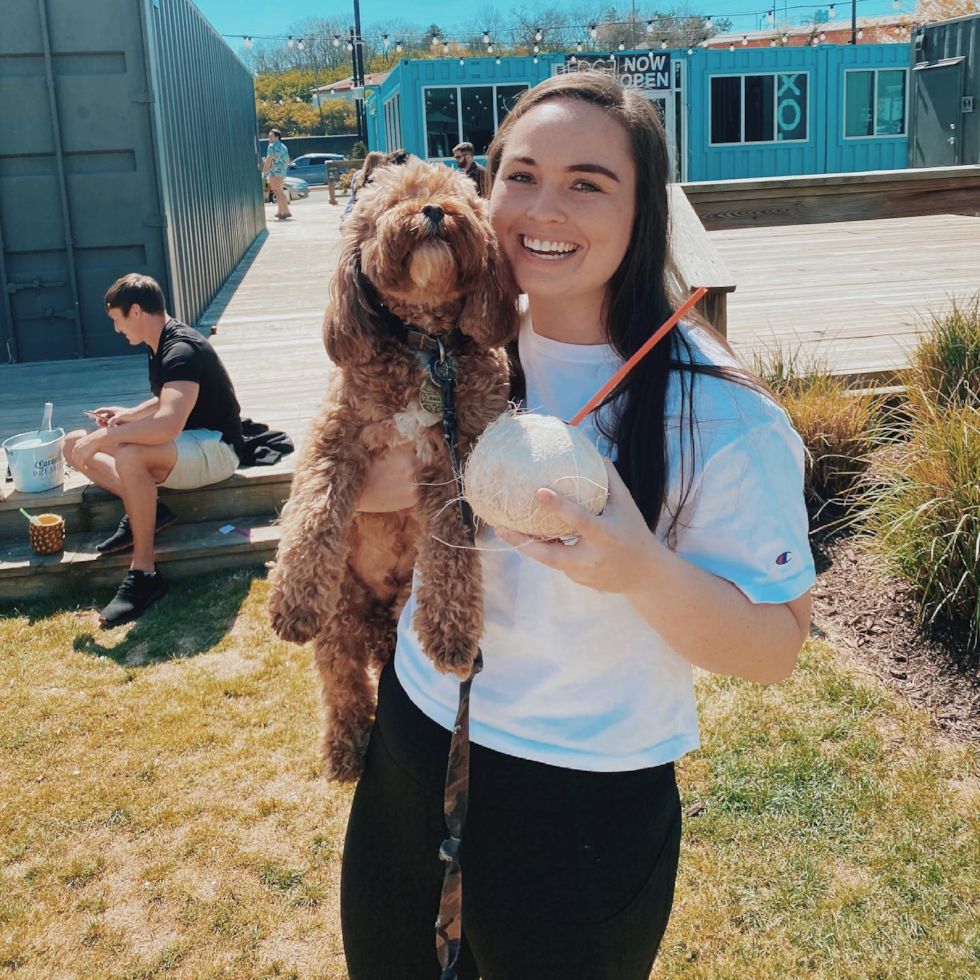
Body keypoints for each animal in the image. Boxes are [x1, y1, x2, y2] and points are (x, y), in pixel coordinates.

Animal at [264, 155, 516, 780]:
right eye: (392, 202)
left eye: (460, 197)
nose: (432, 211)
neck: (428, 348)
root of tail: (376, 620)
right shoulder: (332, 441)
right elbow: (313, 509)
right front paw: (291, 596)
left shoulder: (458, 463)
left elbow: (451, 547)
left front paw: (452, 633)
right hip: (338, 623)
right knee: (343, 686)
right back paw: (345, 747)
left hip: (393, 606)